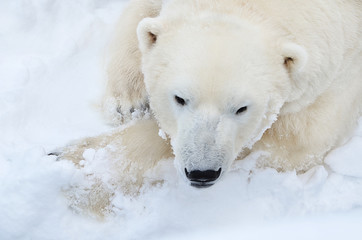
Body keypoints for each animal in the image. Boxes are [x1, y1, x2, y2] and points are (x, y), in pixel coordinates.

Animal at [59, 0, 362, 193]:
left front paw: (72, 160)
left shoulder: (338, 72)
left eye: (242, 108)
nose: (202, 173)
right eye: (180, 98)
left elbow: (295, 140)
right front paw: (128, 102)